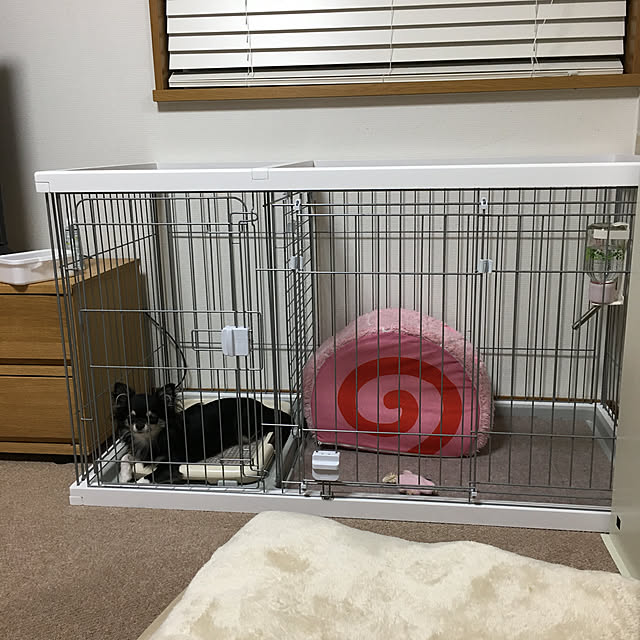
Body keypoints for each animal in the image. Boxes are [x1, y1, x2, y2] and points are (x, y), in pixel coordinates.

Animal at [112, 382, 292, 484]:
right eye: (131, 417)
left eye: (153, 417)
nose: (139, 425)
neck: (150, 439)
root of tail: (262, 406)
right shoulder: (139, 452)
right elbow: (124, 457)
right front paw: (124, 476)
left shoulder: (171, 464)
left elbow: (147, 478)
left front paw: (132, 482)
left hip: (246, 429)